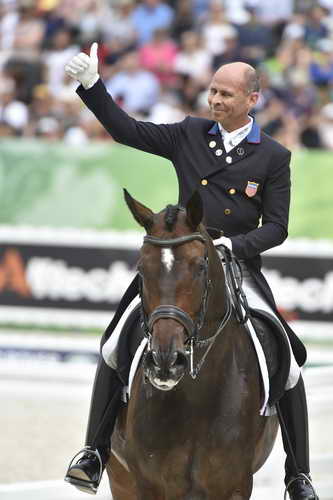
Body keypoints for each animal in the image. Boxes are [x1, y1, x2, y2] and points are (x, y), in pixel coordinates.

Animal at [106, 189, 278, 498]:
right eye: (141, 268)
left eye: (199, 267)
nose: (165, 361)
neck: (198, 394)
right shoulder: (147, 484)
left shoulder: (234, 485)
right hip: (120, 477)